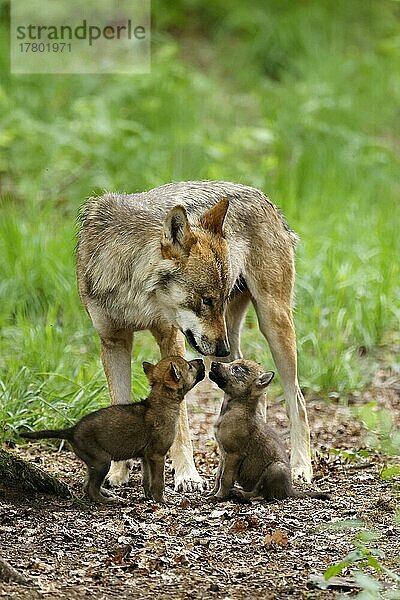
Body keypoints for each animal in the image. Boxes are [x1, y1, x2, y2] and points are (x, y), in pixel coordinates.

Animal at [21, 356, 205, 502]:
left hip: (94, 463)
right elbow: (158, 482)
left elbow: (146, 481)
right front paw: (162, 501)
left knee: (86, 485)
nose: (201, 360)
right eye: (189, 366)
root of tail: (72, 430)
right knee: (90, 488)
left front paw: (148, 498)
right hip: (102, 460)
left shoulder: (145, 457)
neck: (162, 402)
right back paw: (107, 500)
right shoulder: (157, 455)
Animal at [75, 180, 312, 490]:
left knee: (297, 399)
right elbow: (119, 404)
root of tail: (261, 195)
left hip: (273, 323)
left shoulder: (170, 337)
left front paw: (187, 475)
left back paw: (301, 468)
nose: (221, 350)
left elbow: (182, 421)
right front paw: (117, 473)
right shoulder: (113, 343)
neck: (130, 283)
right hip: (230, 346)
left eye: (218, 299)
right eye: (207, 300)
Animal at [209, 360, 328, 502]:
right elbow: (218, 475)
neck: (233, 408)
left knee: (262, 493)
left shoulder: (234, 454)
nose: (213, 363)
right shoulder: (223, 454)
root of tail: (290, 490)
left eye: (236, 369)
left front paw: (219, 496)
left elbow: (225, 478)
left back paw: (241, 494)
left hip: (275, 468)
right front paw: (213, 492)